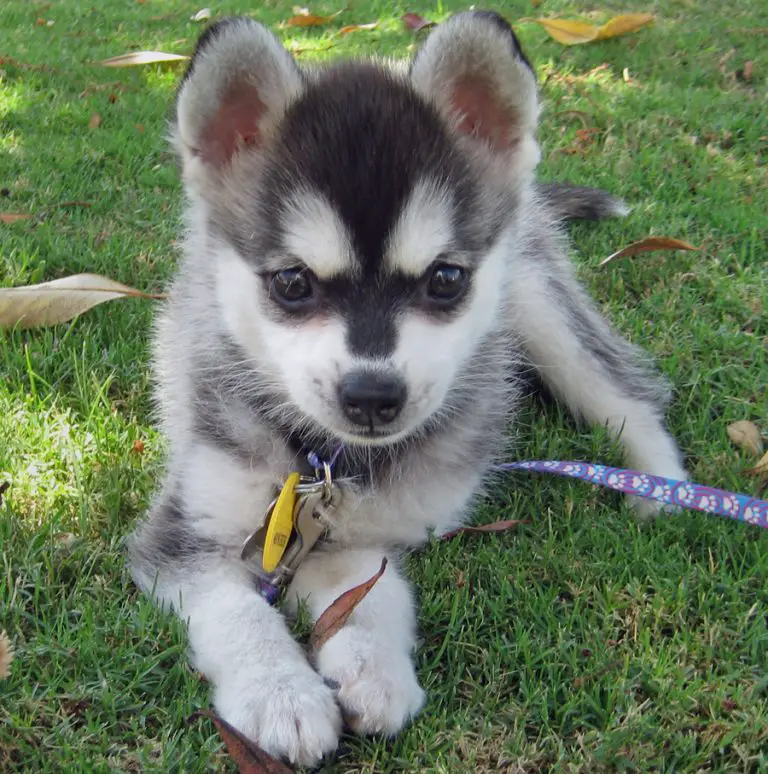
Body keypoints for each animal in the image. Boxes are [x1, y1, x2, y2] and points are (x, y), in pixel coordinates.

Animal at [129, 12, 688, 768]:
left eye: (446, 279)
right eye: (292, 283)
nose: (372, 396)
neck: (327, 467)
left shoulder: (371, 538)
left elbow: (372, 595)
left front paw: (373, 671)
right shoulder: (184, 534)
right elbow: (237, 610)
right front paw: (281, 694)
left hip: (541, 306)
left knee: (626, 394)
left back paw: (662, 485)